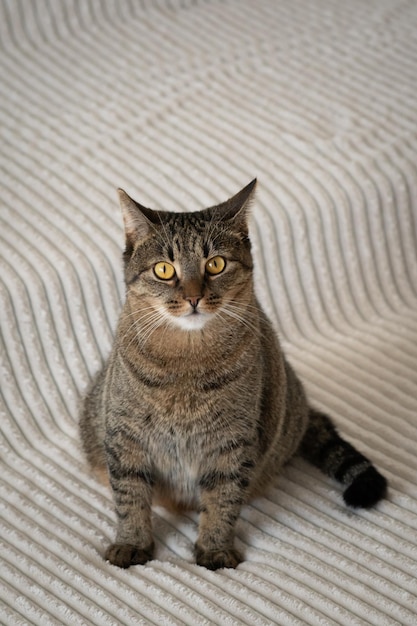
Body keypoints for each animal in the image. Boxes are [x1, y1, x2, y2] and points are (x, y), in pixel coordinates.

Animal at [80, 178, 386, 568]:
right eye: (164, 269)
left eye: (216, 264)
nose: (193, 297)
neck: (187, 363)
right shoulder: (125, 436)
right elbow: (130, 497)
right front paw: (132, 542)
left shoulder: (232, 441)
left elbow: (222, 499)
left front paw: (215, 547)